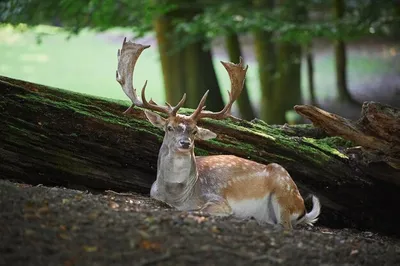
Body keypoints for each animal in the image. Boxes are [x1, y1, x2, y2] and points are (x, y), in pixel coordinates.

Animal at [115, 38, 318, 230]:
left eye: (195, 131)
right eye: (169, 127)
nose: (185, 143)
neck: (178, 196)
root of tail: (302, 206)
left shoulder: (218, 200)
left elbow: (199, 209)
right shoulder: (153, 194)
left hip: (284, 193)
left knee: (286, 225)